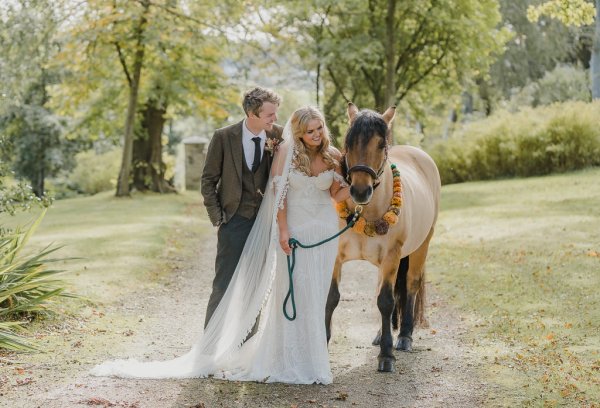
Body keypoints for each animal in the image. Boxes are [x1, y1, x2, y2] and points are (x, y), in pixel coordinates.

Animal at [328, 103, 440, 372]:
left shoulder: (392, 256)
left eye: (380, 144)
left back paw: (405, 336)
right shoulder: (334, 257)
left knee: (410, 284)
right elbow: (332, 298)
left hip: (420, 247)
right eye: (348, 143)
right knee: (380, 288)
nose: (360, 191)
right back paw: (381, 334)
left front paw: (387, 356)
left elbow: (387, 302)